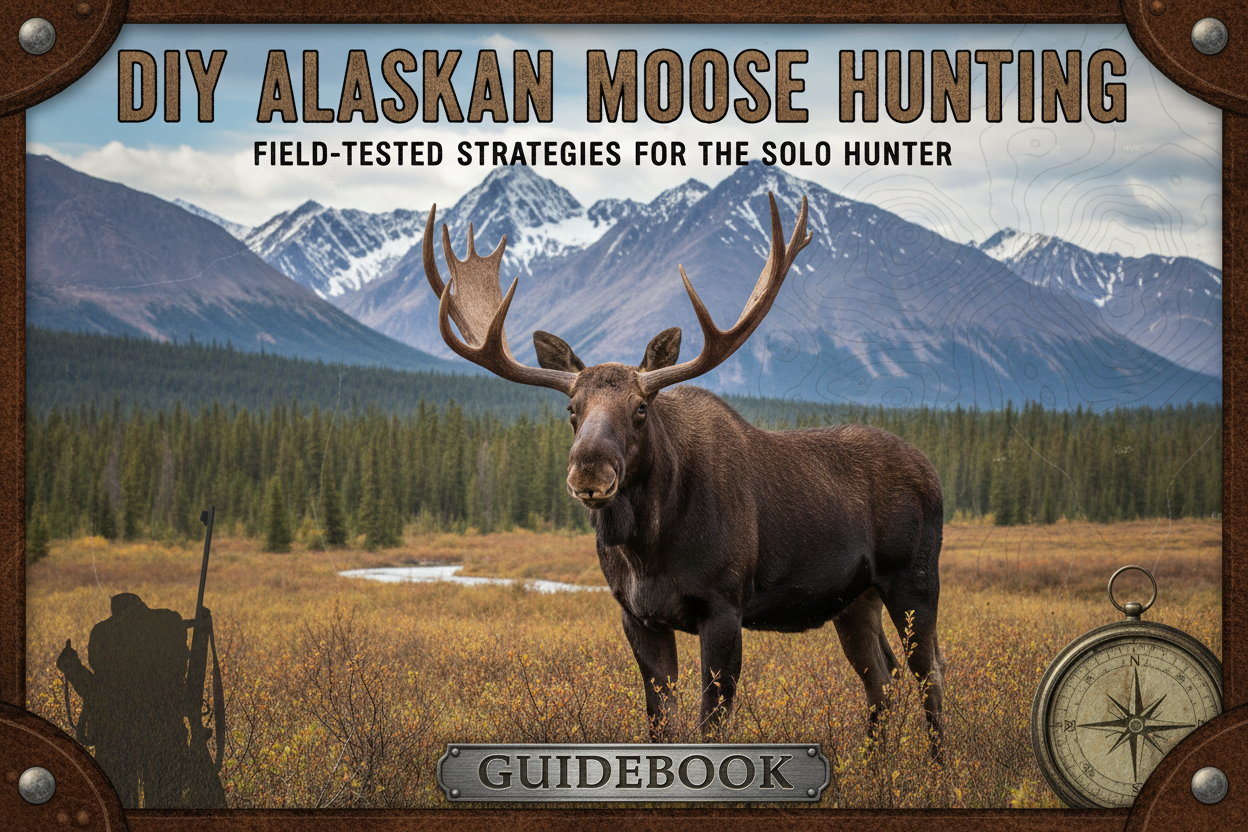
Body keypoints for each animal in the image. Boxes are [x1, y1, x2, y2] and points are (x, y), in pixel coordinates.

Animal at [422, 193, 947, 759]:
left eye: (640, 409)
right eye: (571, 410)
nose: (588, 472)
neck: (647, 548)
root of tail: (932, 472)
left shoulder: (723, 608)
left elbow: (709, 724)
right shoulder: (637, 616)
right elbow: (659, 721)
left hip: (914, 580)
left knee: (930, 673)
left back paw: (940, 769)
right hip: (853, 600)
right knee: (881, 678)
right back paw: (875, 767)